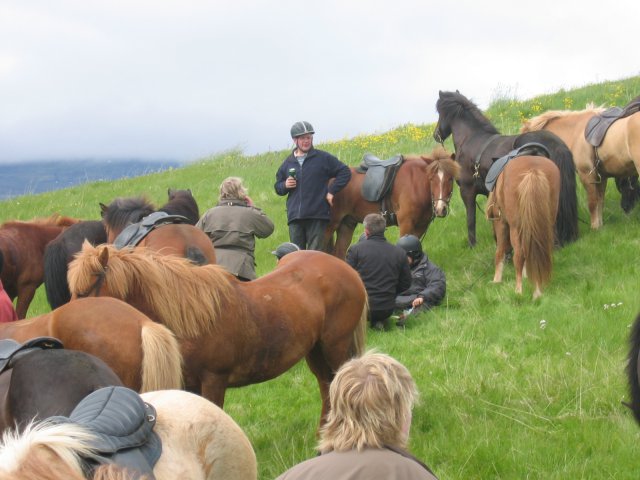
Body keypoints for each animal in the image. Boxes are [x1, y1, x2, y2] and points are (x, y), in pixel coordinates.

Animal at [67, 242, 368, 426]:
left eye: (84, 291)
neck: (191, 320)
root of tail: (345, 268)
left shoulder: (214, 381)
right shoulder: (188, 385)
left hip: (335, 347)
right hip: (315, 351)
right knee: (326, 386)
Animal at [324, 146, 460, 258]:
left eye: (450, 179)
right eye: (431, 179)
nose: (440, 209)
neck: (416, 184)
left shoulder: (421, 226)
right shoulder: (405, 223)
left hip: (346, 224)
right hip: (330, 226)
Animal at [436, 90, 576, 248]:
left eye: (439, 113)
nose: (436, 134)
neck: (470, 140)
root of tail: (555, 144)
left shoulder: (467, 191)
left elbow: (470, 220)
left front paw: (472, 245)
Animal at [488, 156, 556, 298]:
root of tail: (533, 170)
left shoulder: (501, 222)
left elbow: (499, 251)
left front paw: (496, 280)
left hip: (515, 228)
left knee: (518, 256)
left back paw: (519, 290)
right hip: (547, 225)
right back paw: (537, 290)